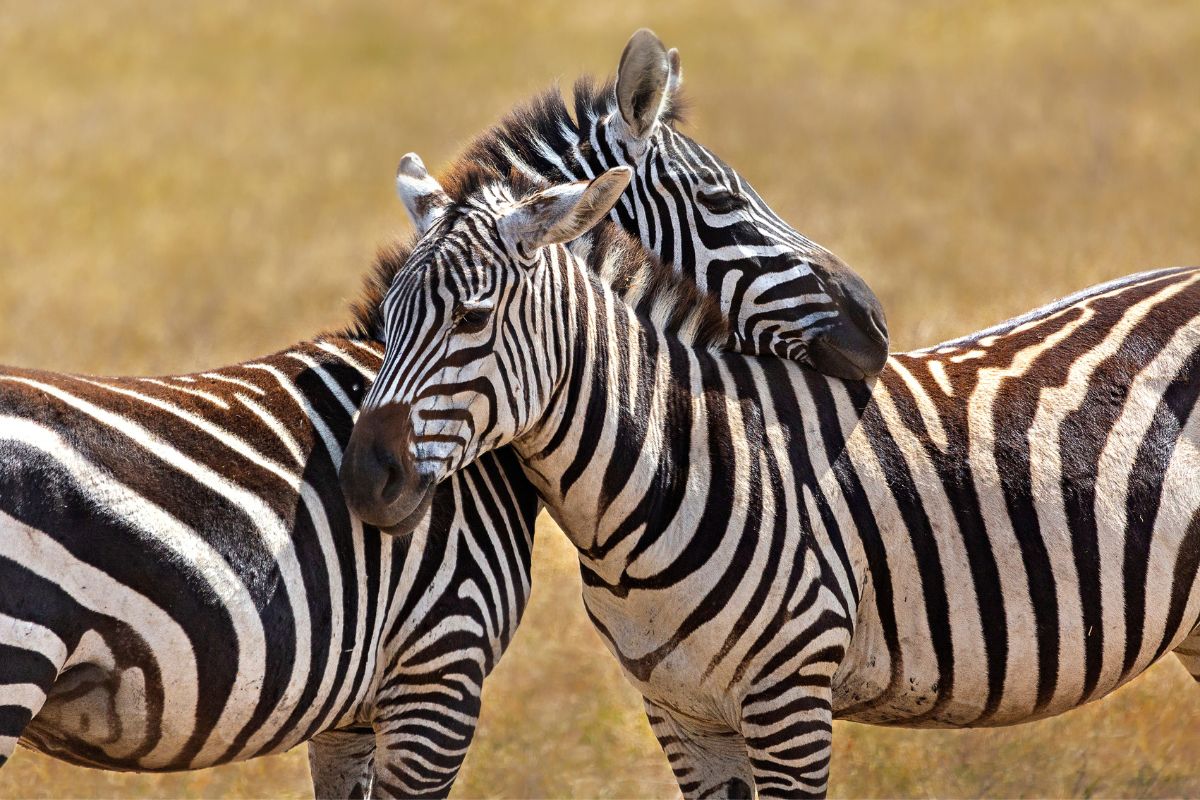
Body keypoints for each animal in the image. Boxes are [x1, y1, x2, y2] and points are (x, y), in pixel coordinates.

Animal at [342, 162, 1200, 799]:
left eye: (471, 319)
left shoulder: (790, 698)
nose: (361, 479)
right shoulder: (682, 714)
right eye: (386, 320)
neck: (678, 464)